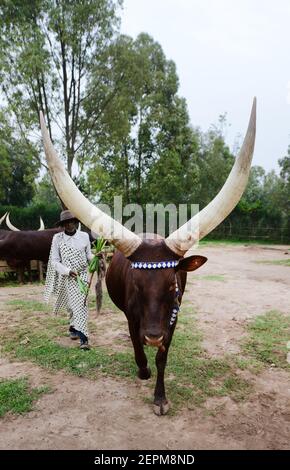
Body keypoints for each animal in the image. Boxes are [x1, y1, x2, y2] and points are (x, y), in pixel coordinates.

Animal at [40, 97, 256, 414]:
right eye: (137, 286)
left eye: (171, 285)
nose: (153, 335)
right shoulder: (132, 316)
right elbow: (137, 348)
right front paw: (143, 371)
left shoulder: (172, 319)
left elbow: (162, 357)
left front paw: (160, 397)